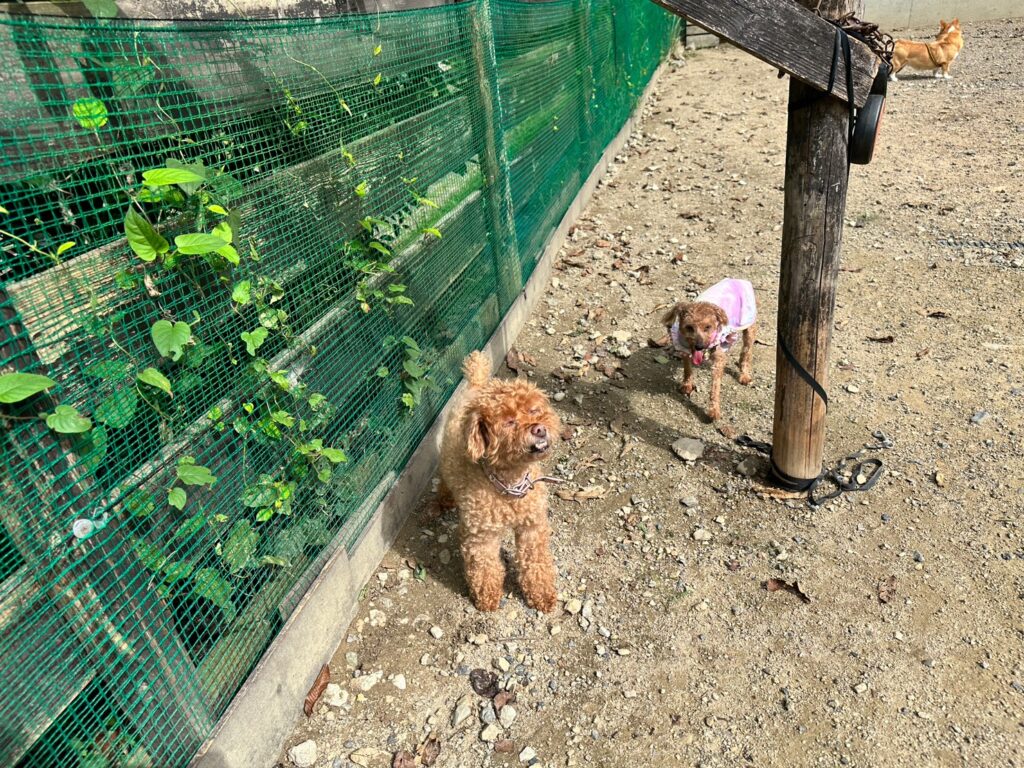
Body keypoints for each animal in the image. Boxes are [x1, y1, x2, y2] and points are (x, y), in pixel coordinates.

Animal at [437, 351, 562, 612]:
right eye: (509, 422)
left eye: (534, 411)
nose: (539, 429)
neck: (510, 484)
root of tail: (476, 384)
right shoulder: (481, 536)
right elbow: (484, 568)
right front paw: (487, 598)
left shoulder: (532, 526)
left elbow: (536, 561)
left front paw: (542, 594)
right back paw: (444, 500)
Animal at [661, 278, 757, 421]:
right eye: (689, 327)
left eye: (708, 327)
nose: (699, 346)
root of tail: (738, 280)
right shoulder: (685, 348)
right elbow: (687, 368)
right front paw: (687, 385)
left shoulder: (718, 357)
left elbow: (715, 386)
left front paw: (714, 411)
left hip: (748, 324)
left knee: (747, 350)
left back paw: (744, 375)